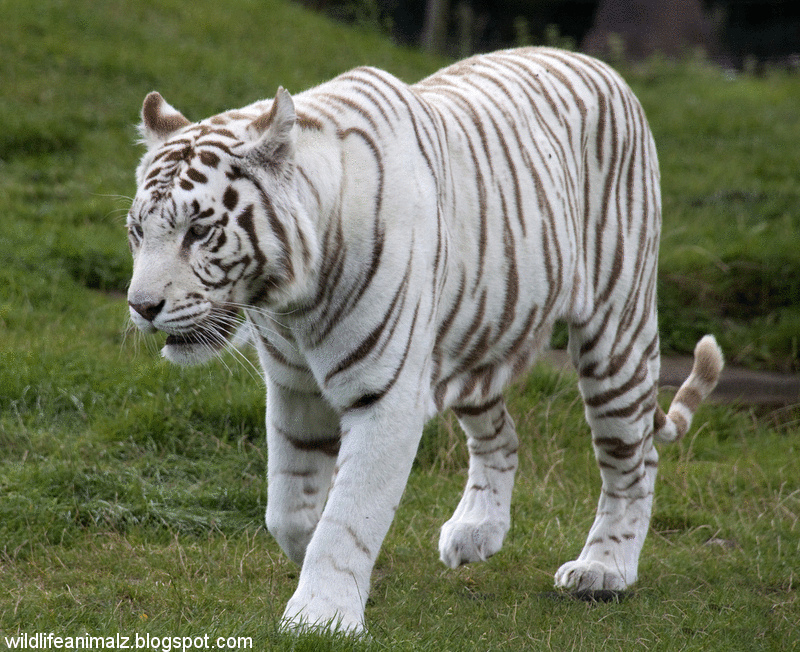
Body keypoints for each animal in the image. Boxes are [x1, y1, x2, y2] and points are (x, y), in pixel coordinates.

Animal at [126, 48, 724, 636]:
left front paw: (322, 615)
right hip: (475, 337)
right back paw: (477, 532)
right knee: (503, 437)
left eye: (199, 231)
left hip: (615, 333)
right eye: (137, 231)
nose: (141, 306)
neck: (291, 303)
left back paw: (604, 569)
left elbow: (349, 514)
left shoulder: (384, 396)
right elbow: (289, 511)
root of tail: (601, 66)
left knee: (634, 460)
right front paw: (335, 576)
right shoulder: (295, 389)